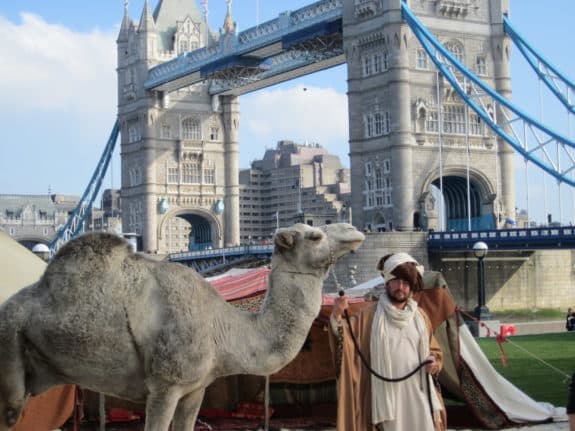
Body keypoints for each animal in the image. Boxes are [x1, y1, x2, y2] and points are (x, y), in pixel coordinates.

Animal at [0, 221, 364, 430]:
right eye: (315, 236)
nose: (353, 229)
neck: (222, 328)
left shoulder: (195, 388)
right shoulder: (165, 386)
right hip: (9, 347)